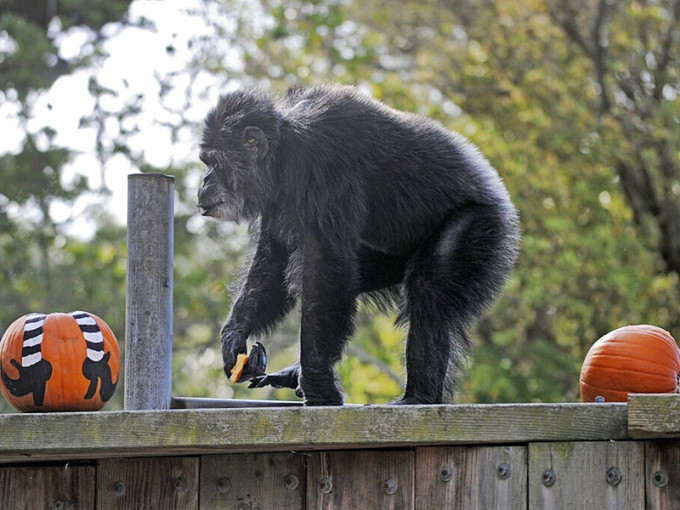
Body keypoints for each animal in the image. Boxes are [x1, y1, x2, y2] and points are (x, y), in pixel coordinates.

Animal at [198, 83, 520, 404]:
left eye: (214, 162)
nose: (203, 181)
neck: (283, 152)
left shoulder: (322, 163)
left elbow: (324, 262)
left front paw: (319, 386)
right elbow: (274, 260)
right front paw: (233, 337)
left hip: (482, 225)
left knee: (428, 287)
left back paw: (419, 397)